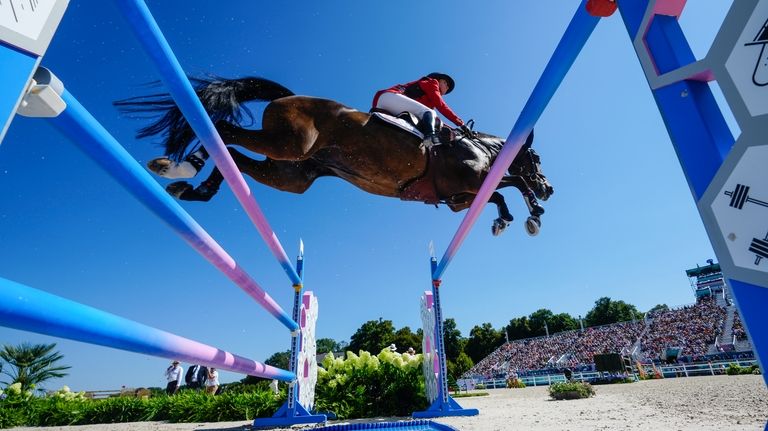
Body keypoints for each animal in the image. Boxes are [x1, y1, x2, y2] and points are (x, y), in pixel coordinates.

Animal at [115, 77, 552, 236]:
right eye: (537, 160)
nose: (550, 189)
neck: (477, 147)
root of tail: (288, 97)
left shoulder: (460, 199)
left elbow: (498, 193)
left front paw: (508, 218)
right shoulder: (468, 182)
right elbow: (510, 182)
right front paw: (531, 214)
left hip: (290, 174)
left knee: (236, 157)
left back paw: (195, 188)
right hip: (290, 144)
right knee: (223, 129)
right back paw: (179, 167)